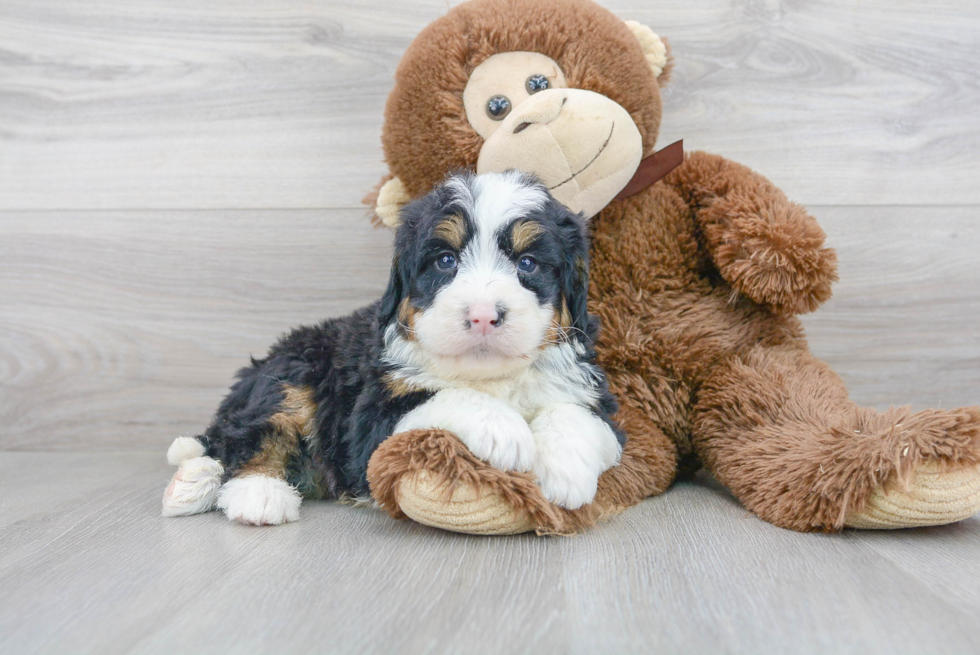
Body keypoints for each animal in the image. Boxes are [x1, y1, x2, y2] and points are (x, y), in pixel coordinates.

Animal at [160, 172, 620, 524]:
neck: (488, 375)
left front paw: (565, 472)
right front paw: (502, 428)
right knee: (254, 432)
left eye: (528, 264)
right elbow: (444, 396)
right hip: (295, 371)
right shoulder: (371, 423)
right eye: (446, 261)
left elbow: (574, 414)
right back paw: (248, 492)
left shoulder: (598, 402)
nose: (483, 316)